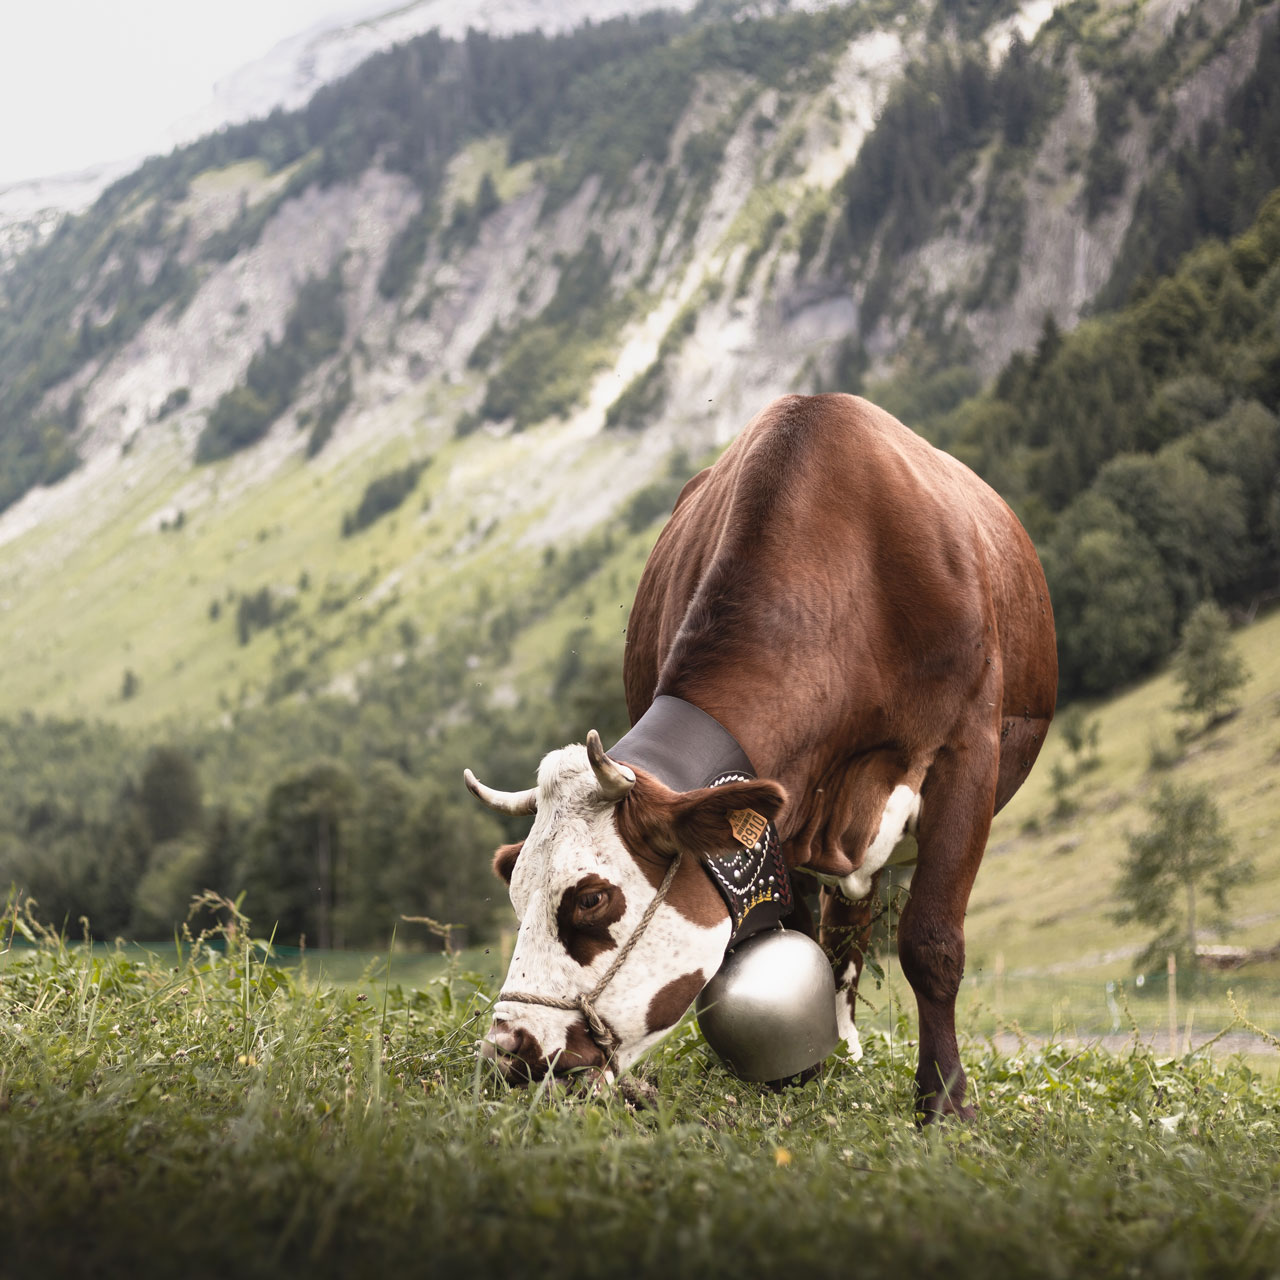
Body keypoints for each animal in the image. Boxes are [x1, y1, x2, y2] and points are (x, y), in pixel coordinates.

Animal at [465, 391, 1054, 1121]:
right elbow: (795, 940)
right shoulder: (776, 820)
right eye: (516, 895)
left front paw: (944, 1100)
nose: (509, 1051)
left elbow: (931, 943)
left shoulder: (966, 756)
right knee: (842, 929)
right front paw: (800, 1075)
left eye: (592, 899)